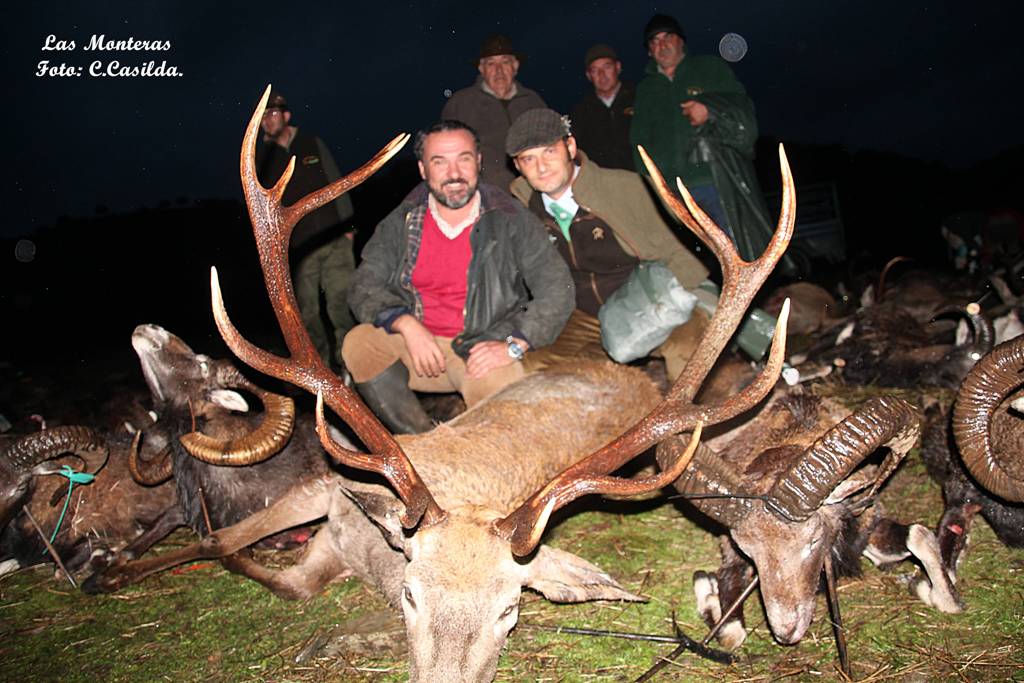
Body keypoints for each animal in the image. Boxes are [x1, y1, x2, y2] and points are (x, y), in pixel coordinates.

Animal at [85, 85, 796, 682]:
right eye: (410, 593)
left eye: (511, 610)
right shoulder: (328, 487)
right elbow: (223, 539)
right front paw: (108, 568)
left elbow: (275, 574)